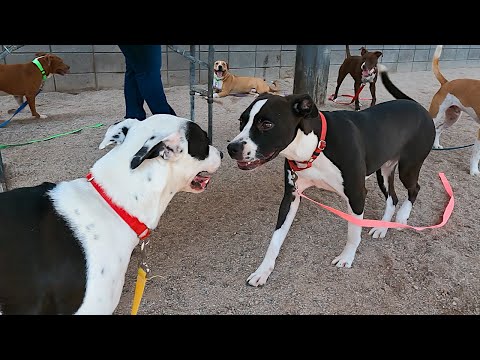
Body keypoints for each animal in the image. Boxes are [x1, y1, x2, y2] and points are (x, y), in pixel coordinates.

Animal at [226, 64, 436, 286]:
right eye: (241, 121)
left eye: (266, 124)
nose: (232, 148)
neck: (315, 147)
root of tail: (416, 106)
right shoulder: (291, 196)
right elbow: (276, 238)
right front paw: (263, 270)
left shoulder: (356, 195)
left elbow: (353, 232)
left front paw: (347, 257)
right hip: (384, 171)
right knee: (392, 198)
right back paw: (382, 228)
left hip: (408, 167)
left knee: (414, 189)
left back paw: (402, 217)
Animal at [430, 45, 480, 176]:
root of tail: (446, 83)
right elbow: (476, 154)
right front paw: (474, 171)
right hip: (436, 115)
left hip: (453, 118)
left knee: (439, 129)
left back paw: (436, 145)